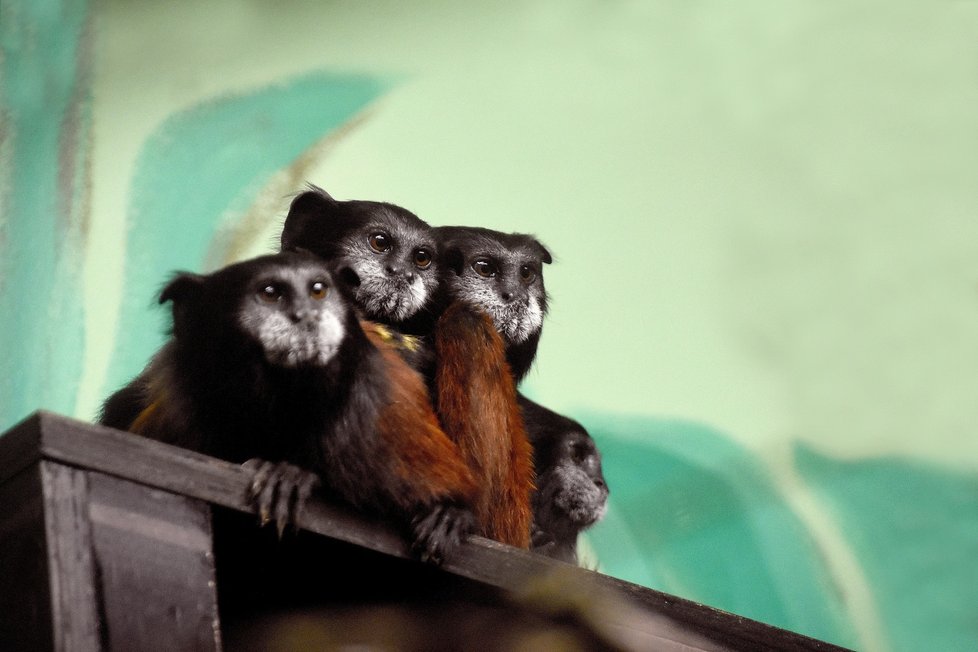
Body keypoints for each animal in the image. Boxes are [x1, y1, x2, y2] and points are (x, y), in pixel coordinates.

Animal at [98, 252, 476, 564]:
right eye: (270, 293)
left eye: (318, 291)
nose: (307, 316)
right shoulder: (179, 408)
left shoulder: (377, 419)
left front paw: (291, 476)